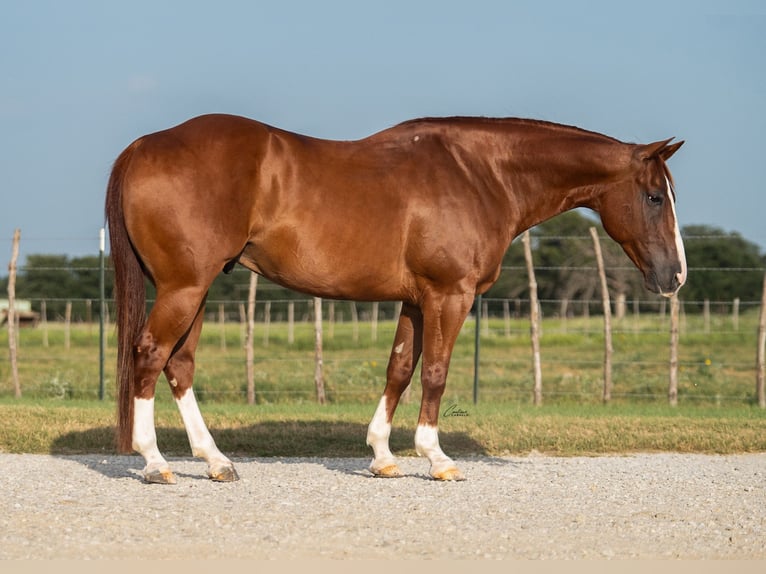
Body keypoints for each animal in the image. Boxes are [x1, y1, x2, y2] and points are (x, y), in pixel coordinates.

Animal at [105, 113, 686, 483]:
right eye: (655, 196)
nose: (675, 276)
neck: (481, 173)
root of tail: (143, 146)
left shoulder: (415, 300)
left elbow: (400, 369)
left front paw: (383, 456)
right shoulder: (449, 296)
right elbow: (436, 373)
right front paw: (437, 458)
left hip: (197, 289)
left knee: (179, 365)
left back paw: (216, 462)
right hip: (185, 288)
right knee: (150, 355)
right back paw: (155, 463)